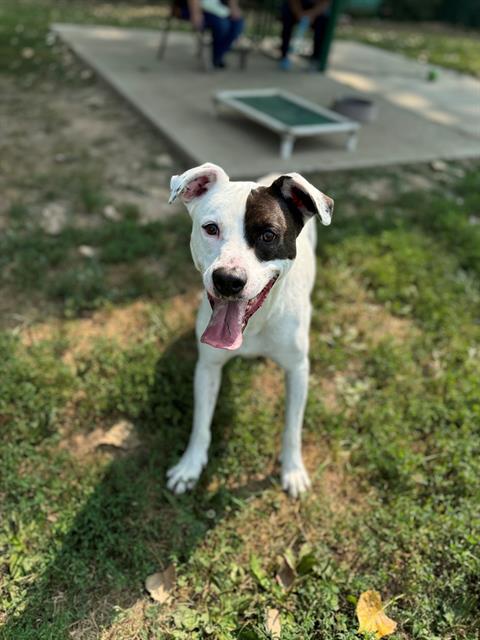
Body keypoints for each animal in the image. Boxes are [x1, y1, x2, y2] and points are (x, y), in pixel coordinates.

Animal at [167, 162, 332, 498]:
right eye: (211, 228)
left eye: (268, 235)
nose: (228, 280)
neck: (254, 324)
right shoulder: (208, 366)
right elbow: (201, 423)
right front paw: (190, 466)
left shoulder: (298, 369)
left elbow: (292, 427)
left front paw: (293, 470)